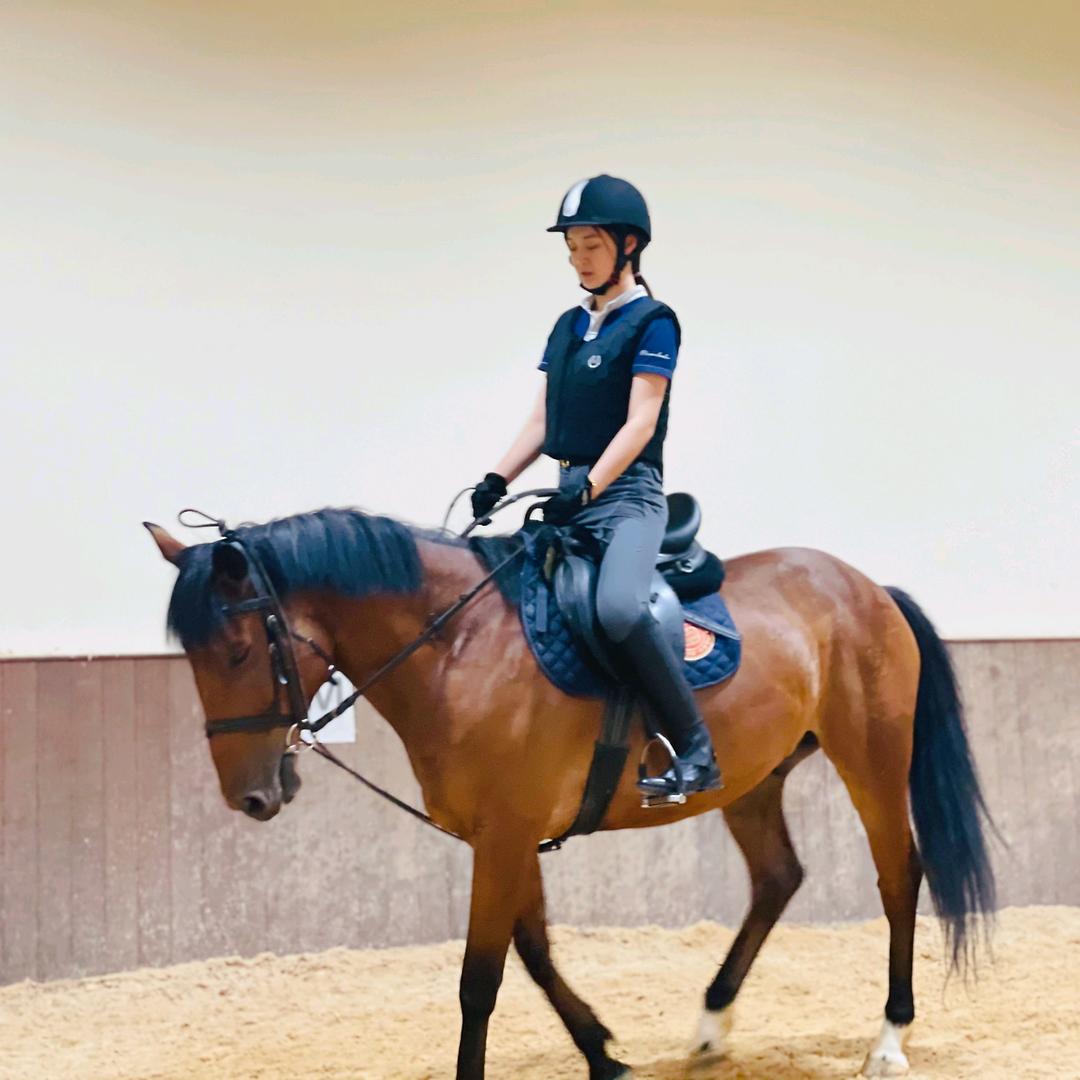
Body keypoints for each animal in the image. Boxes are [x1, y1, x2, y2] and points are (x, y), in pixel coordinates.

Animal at [145, 505, 995, 1080]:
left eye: (239, 649)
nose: (251, 797)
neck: (459, 648)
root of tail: (866, 586)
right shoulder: (505, 837)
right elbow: (534, 951)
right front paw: (603, 1051)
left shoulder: (505, 834)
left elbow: (480, 981)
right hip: (756, 779)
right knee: (778, 878)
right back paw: (711, 1024)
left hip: (872, 759)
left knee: (898, 876)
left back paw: (888, 1039)